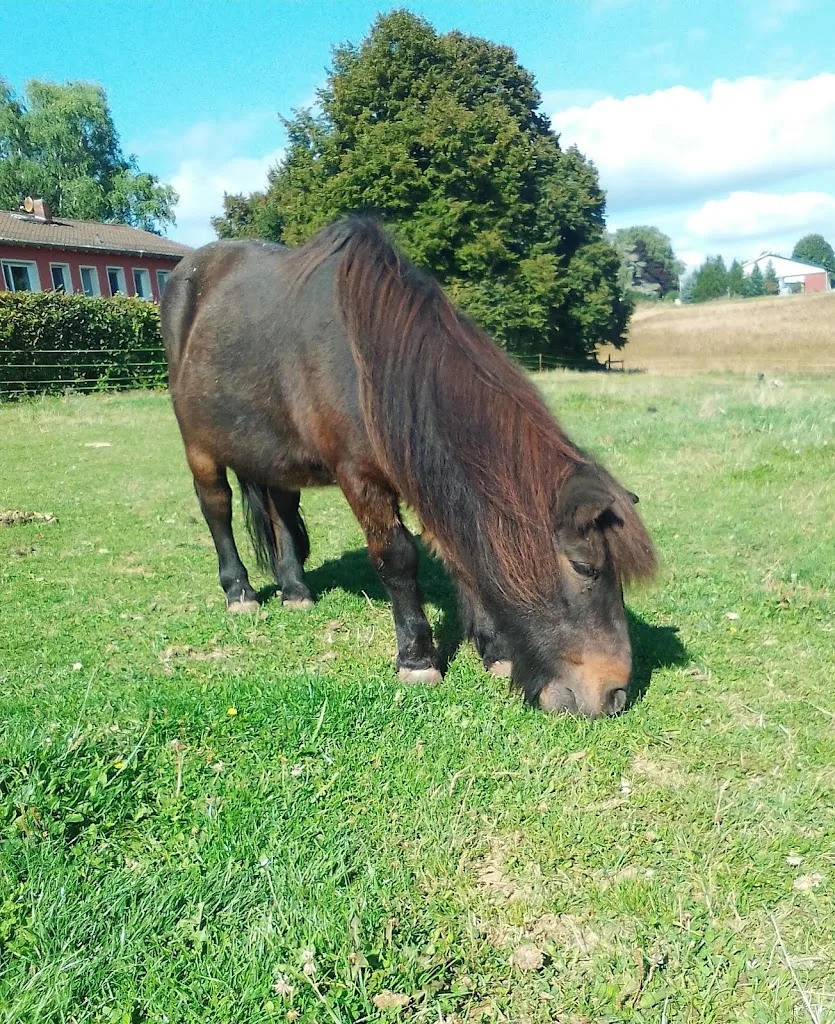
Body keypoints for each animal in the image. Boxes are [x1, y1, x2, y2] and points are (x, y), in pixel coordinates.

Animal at [160, 217, 655, 718]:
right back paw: (239, 592)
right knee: (216, 509)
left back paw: (296, 591)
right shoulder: (360, 478)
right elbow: (396, 557)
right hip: (198, 447)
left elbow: (458, 558)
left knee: (281, 511)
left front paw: (494, 652)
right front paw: (418, 660)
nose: (614, 694)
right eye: (585, 568)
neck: (367, 365)